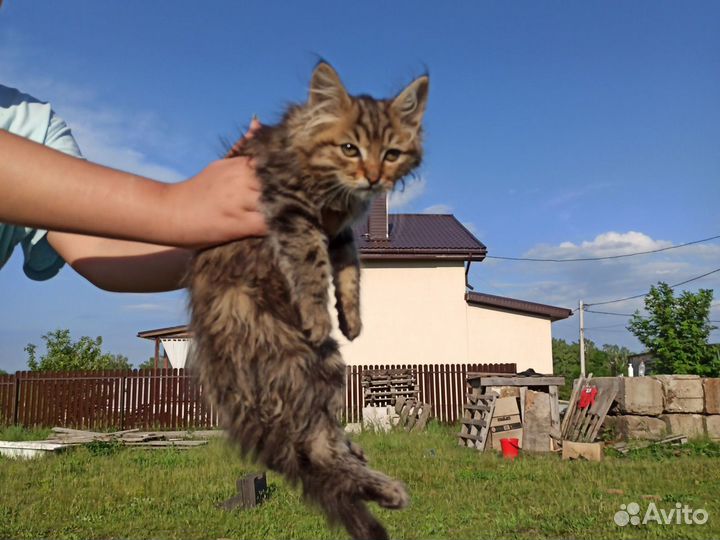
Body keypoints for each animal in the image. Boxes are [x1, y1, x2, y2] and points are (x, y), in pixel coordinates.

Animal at [187, 64, 428, 540]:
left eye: (391, 153)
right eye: (349, 148)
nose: (373, 177)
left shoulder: (342, 233)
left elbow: (351, 272)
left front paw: (351, 319)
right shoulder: (291, 210)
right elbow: (313, 267)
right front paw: (318, 314)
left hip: (320, 371)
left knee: (321, 441)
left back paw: (370, 469)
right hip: (306, 364)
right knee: (316, 451)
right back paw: (388, 488)